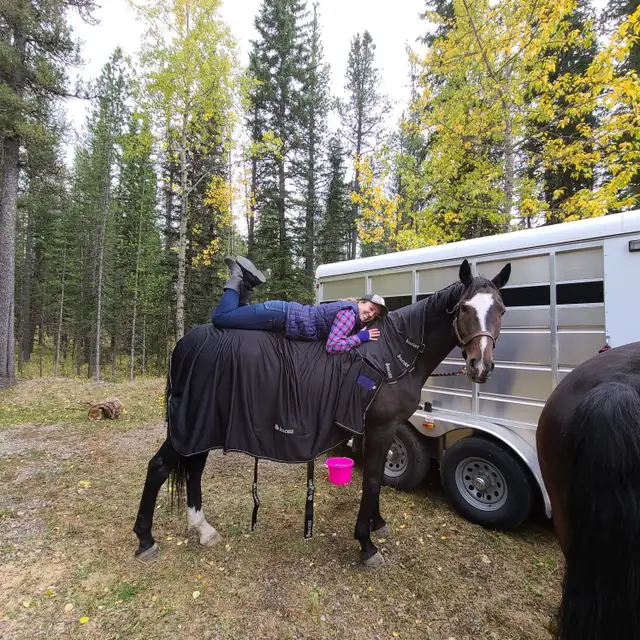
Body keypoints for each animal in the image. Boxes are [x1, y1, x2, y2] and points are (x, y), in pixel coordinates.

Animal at [133, 258, 511, 568]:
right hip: (190, 423)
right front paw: (366, 545)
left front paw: (377, 524)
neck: (392, 354)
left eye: (502, 309)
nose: (481, 367)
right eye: (464, 308)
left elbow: (375, 478)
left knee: (193, 468)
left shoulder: (379, 430)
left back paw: (203, 530)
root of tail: (185, 342)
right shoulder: (381, 427)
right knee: (160, 467)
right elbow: (372, 480)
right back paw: (146, 539)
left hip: (203, 424)